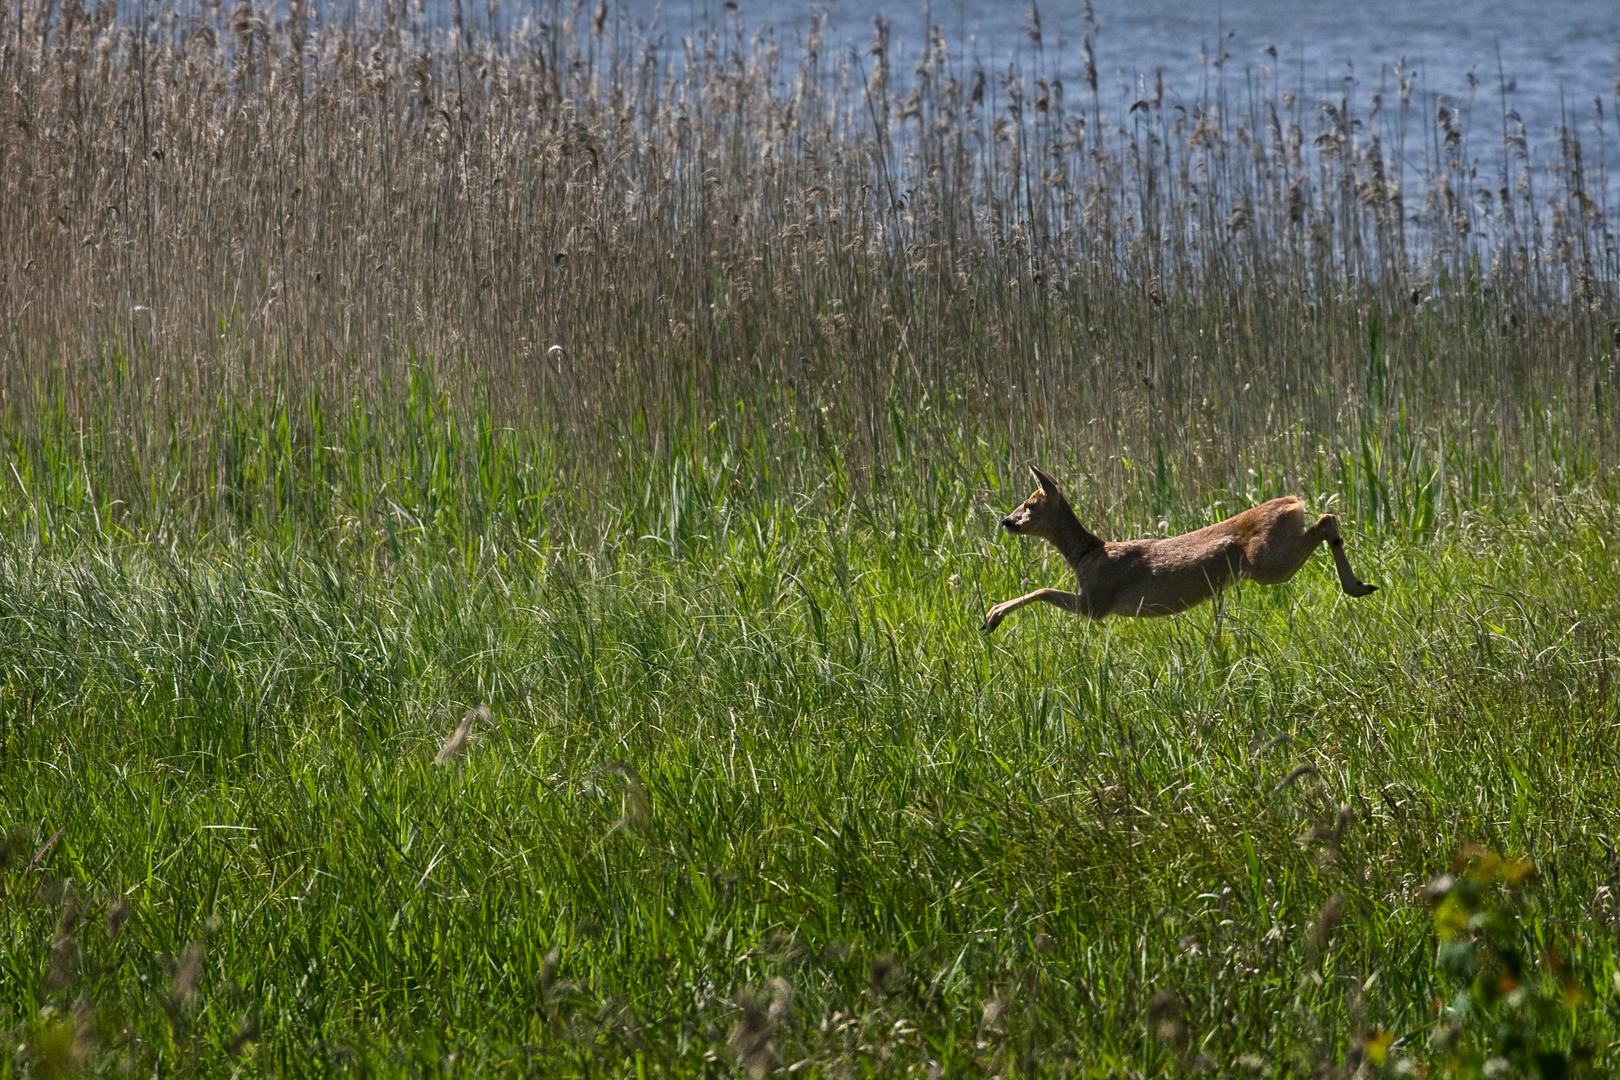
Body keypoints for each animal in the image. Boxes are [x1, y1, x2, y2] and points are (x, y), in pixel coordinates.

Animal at [978, 466, 1373, 634]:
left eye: (1030, 504)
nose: (1007, 521)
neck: (1087, 555)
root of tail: (1292, 503)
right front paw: (991, 617)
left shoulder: (1097, 602)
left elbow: (1043, 590)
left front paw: (992, 617)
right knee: (1327, 519)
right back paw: (1362, 585)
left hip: (1269, 564)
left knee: (1325, 519)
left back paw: (1357, 585)